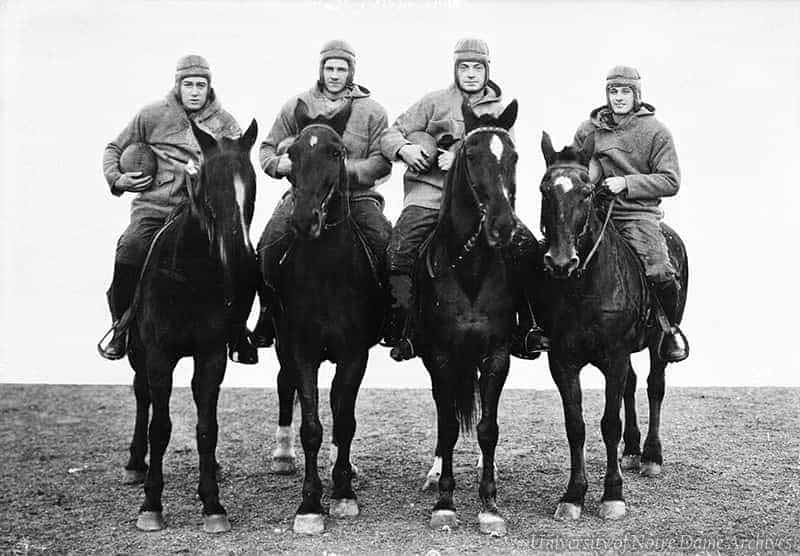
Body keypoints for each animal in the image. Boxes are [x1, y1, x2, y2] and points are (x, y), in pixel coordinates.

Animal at [123, 119, 260, 532]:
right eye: (208, 183)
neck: (189, 275)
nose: (238, 251)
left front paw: (212, 503)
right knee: (142, 397)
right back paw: (135, 463)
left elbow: (206, 428)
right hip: (138, 355)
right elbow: (160, 427)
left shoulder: (211, 355)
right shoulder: (158, 356)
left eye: (251, 182)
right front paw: (151, 504)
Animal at [256, 100, 382, 536]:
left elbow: (344, 420)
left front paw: (343, 493)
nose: (304, 221)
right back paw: (282, 456)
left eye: (336, 152)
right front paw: (310, 504)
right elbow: (311, 425)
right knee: (284, 386)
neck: (327, 272)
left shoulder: (354, 354)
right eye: (292, 153)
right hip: (280, 342)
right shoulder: (300, 350)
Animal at [406, 99, 520, 536]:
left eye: (514, 156)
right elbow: (449, 425)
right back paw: (437, 470)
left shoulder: (497, 356)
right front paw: (445, 502)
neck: (469, 268)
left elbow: (488, 428)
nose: (503, 226)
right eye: (470, 155)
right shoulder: (440, 357)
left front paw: (489, 504)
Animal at [536, 134, 688, 520]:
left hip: (657, 344)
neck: (585, 285)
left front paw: (612, 494)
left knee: (654, 387)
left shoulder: (615, 357)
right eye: (545, 188)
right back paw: (633, 451)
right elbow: (576, 425)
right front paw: (573, 495)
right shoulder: (563, 362)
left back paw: (650, 455)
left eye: (587, 191)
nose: (561, 262)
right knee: (631, 387)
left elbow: (609, 424)